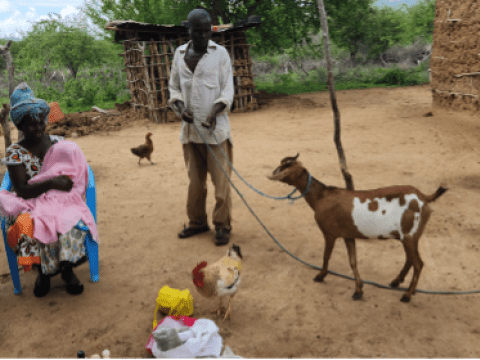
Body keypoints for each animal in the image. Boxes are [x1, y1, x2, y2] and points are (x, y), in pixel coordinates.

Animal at [268, 153, 448, 302]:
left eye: (285, 167)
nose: (272, 173)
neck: (321, 197)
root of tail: (423, 196)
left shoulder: (329, 233)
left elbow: (326, 256)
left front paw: (320, 276)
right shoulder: (348, 235)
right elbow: (353, 262)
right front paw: (358, 290)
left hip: (410, 235)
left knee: (418, 264)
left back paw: (407, 295)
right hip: (410, 236)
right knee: (410, 259)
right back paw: (397, 282)